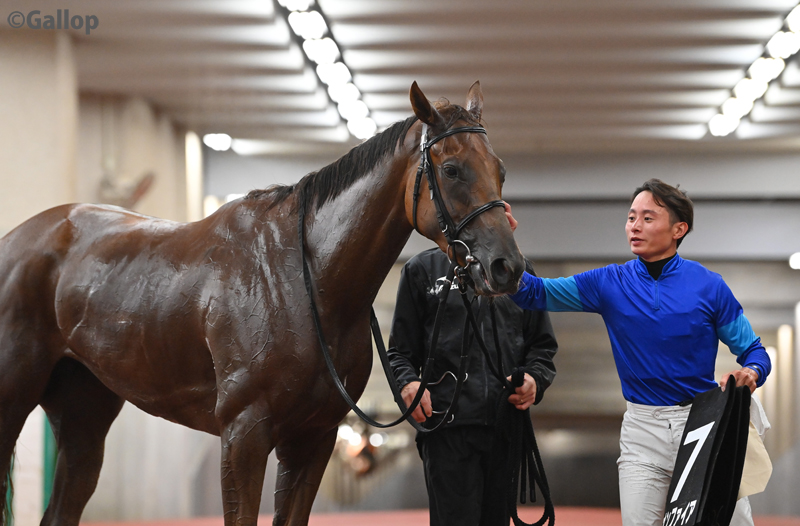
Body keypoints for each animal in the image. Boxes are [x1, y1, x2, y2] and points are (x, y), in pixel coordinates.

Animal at [0, 81, 524, 526]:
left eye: (500, 170)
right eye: (452, 170)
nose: (507, 267)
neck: (306, 282)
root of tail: (20, 238)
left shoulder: (313, 438)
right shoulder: (244, 435)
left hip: (84, 416)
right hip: (14, 397)